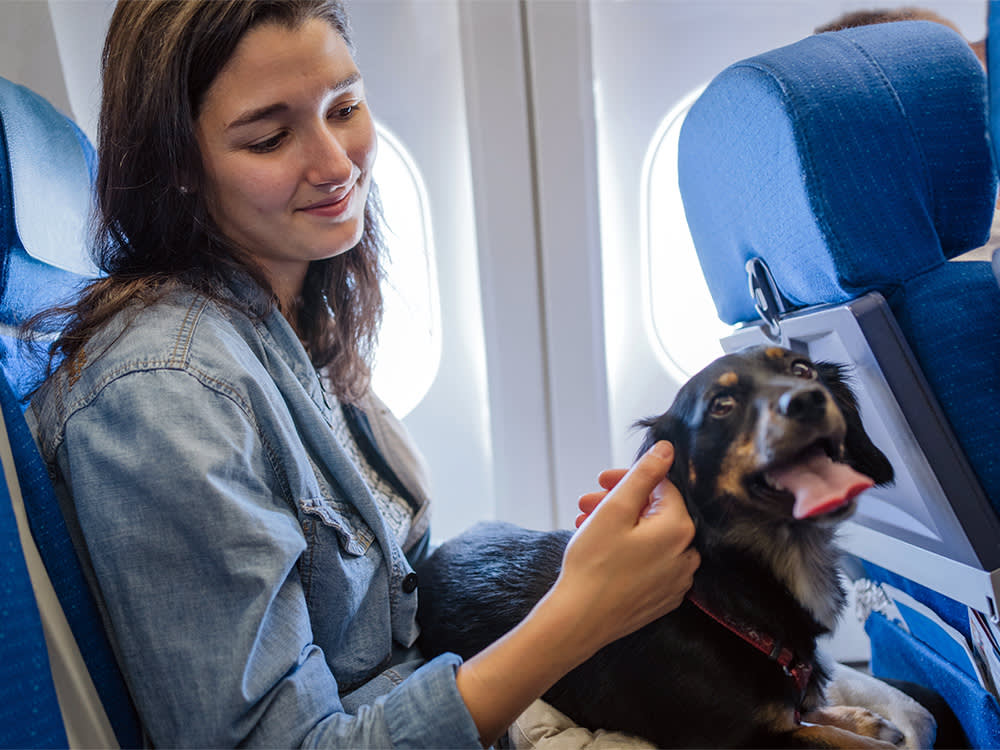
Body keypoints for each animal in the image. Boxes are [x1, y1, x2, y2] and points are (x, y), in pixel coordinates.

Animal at [418, 348, 904, 750]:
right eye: (721, 405)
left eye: (801, 369)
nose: (808, 399)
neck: (728, 596)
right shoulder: (737, 739)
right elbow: (826, 737)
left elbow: (813, 717)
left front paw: (865, 721)